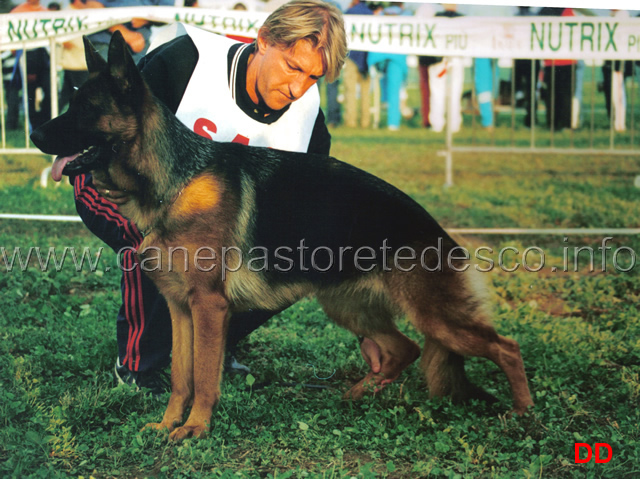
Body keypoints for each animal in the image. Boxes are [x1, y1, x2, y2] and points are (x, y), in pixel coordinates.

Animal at [30, 31, 532, 440]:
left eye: (84, 109)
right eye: (69, 103)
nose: (33, 134)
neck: (177, 179)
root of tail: (439, 231)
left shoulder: (208, 306)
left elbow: (205, 377)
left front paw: (196, 428)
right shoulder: (179, 308)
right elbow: (180, 377)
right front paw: (169, 423)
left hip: (436, 317)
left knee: (507, 348)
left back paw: (523, 415)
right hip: (348, 306)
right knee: (402, 348)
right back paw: (360, 391)